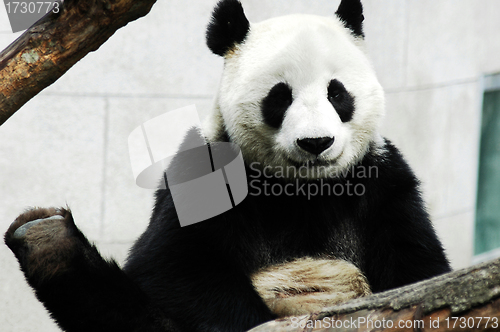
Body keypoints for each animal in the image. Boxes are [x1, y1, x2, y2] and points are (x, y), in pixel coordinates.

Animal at [3, 0, 452, 332]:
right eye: (280, 96)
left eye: (337, 93)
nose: (315, 143)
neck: (302, 189)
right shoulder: (203, 175)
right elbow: (173, 266)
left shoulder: (383, 184)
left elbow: (419, 271)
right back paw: (47, 240)